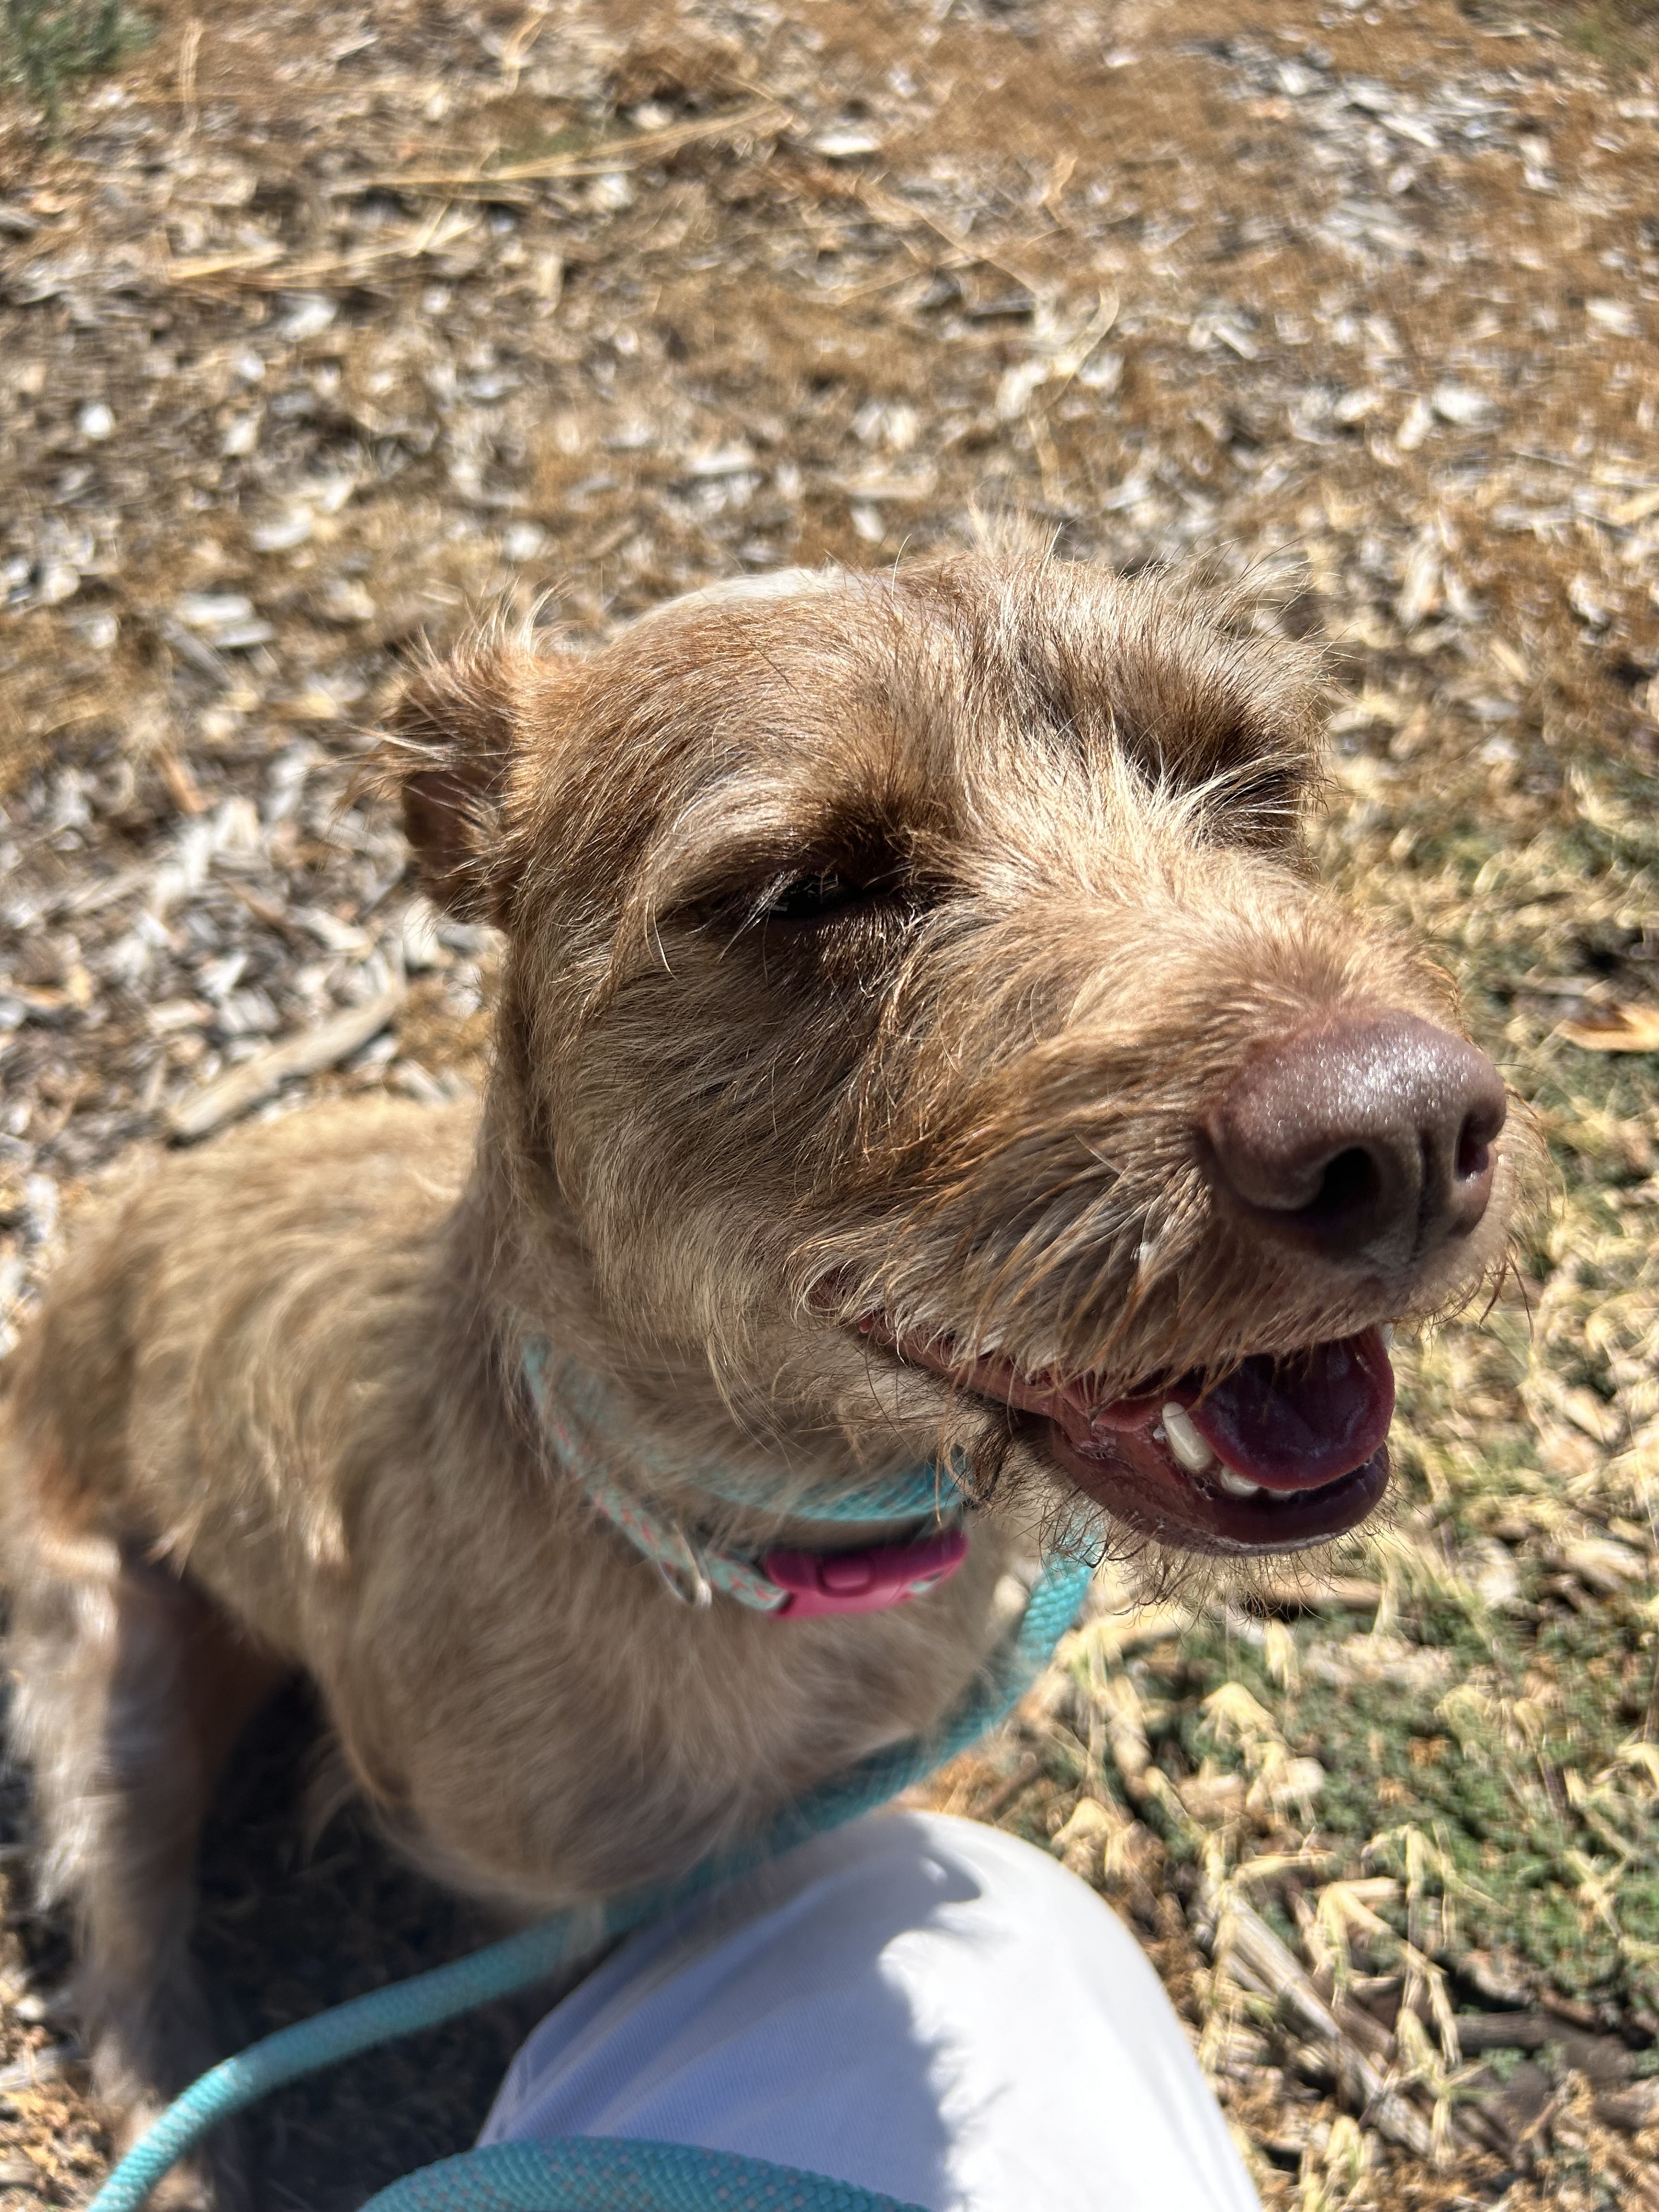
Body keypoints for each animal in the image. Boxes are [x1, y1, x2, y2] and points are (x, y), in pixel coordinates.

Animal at [0, 548, 1531, 2194]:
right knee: (125, 1924)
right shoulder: (540, 1872)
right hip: (105, 1668)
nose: (1407, 1132)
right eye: (813, 889)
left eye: (1253, 781)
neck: (772, 1534)